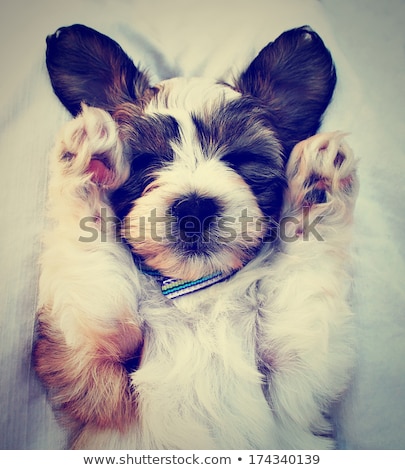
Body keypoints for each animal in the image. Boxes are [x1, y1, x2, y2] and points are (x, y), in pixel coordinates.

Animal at [34, 23, 356, 450]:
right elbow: (90, 271)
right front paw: (90, 159)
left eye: (241, 159)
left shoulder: (296, 381)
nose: (195, 209)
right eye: (144, 162)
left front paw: (320, 183)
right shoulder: (91, 367)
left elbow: (305, 293)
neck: (197, 292)